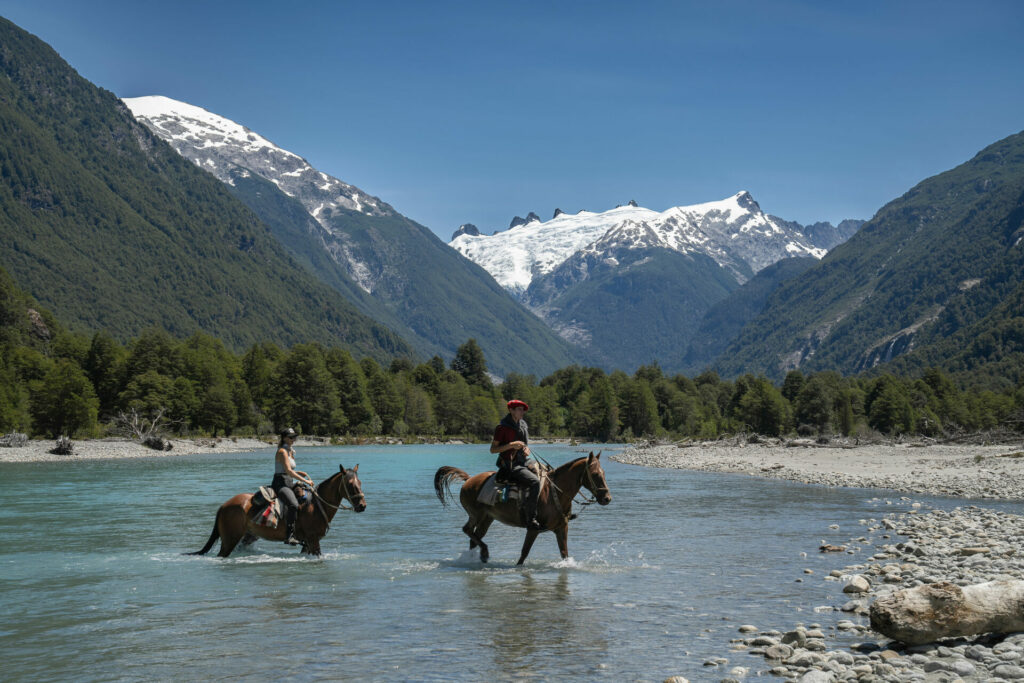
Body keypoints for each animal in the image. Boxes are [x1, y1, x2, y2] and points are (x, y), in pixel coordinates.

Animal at [190, 464, 366, 561]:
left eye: (360, 482)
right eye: (350, 484)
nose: (362, 506)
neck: (316, 506)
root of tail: (224, 505)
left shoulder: (307, 543)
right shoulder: (313, 540)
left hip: (247, 536)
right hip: (229, 539)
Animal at [432, 454, 606, 565]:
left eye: (603, 473)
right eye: (595, 474)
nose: (607, 498)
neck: (555, 493)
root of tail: (469, 480)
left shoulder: (561, 528)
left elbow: (564, 553)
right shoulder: (533, 529)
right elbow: (524, 553)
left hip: (487, 518)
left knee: (474, 537)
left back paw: (478, 557)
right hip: (475, 515)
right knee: (467, 530)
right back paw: (484, 553)